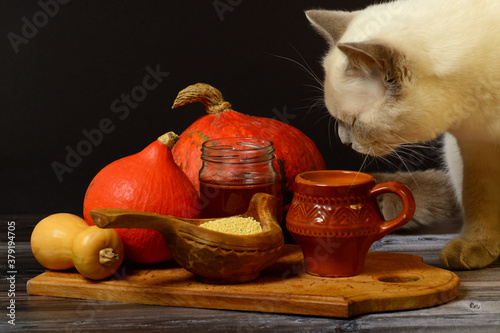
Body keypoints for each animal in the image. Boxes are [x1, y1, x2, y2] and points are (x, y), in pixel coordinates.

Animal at [306, 0, 500, 268]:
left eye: (353, 122)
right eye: (338, 121)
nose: (344, 142)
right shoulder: (477, 144)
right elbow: (479, 198)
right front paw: (475, 245)